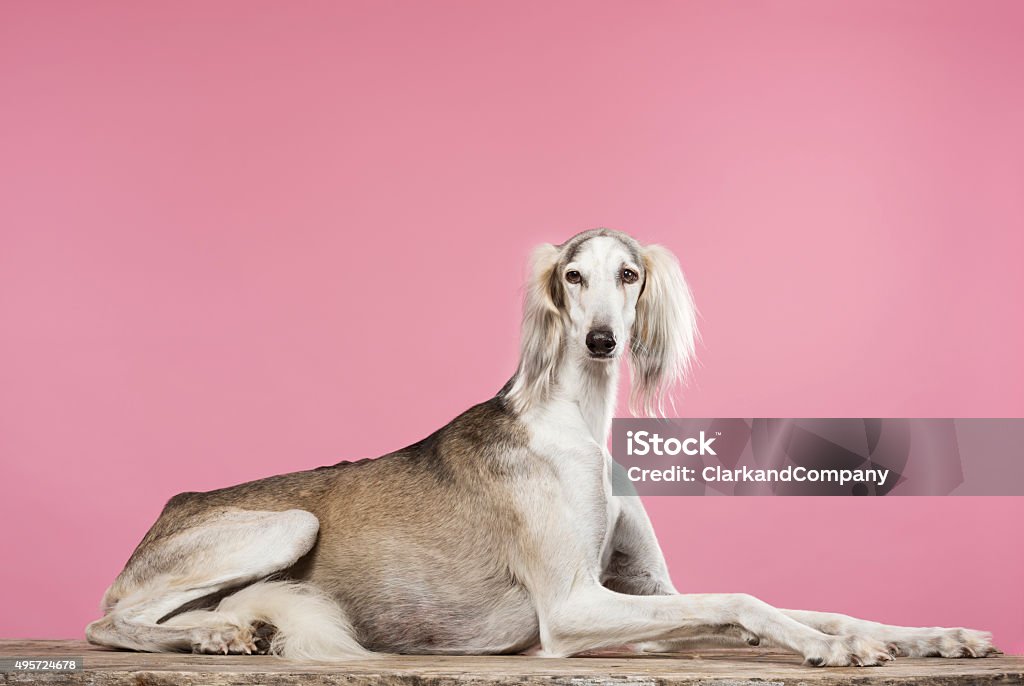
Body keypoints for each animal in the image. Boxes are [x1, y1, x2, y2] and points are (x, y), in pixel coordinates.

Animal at [83, 229, 995, 667]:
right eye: (572, 277)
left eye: (629, 274)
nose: (599, 341)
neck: (577, 426)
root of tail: (168, 508)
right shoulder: (570, 610)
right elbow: (745, 601)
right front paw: (828, 649)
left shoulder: (647, 594)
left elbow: (802, 604)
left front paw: (933, 636)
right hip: (286, 522)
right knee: (108, 623)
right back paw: (207, 639)